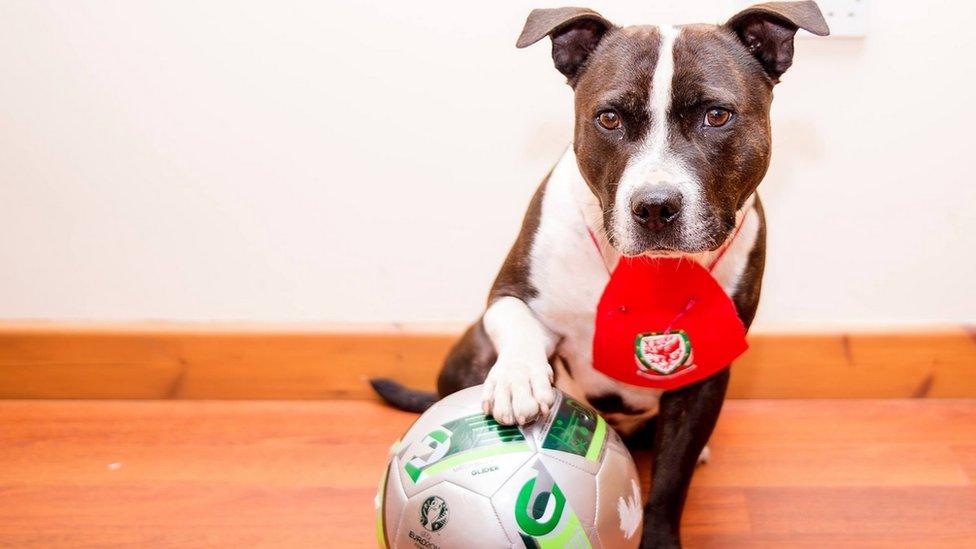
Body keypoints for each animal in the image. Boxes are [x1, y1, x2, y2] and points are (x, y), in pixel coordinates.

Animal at [370, 3, 828, 544]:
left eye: (717, 116)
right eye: (608, 118)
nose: (655, 206)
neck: (644, 270)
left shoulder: (705, 376)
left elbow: (670, 481)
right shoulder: (506, 292)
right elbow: (518, 320)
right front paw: (519, 379)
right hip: (472, 350)